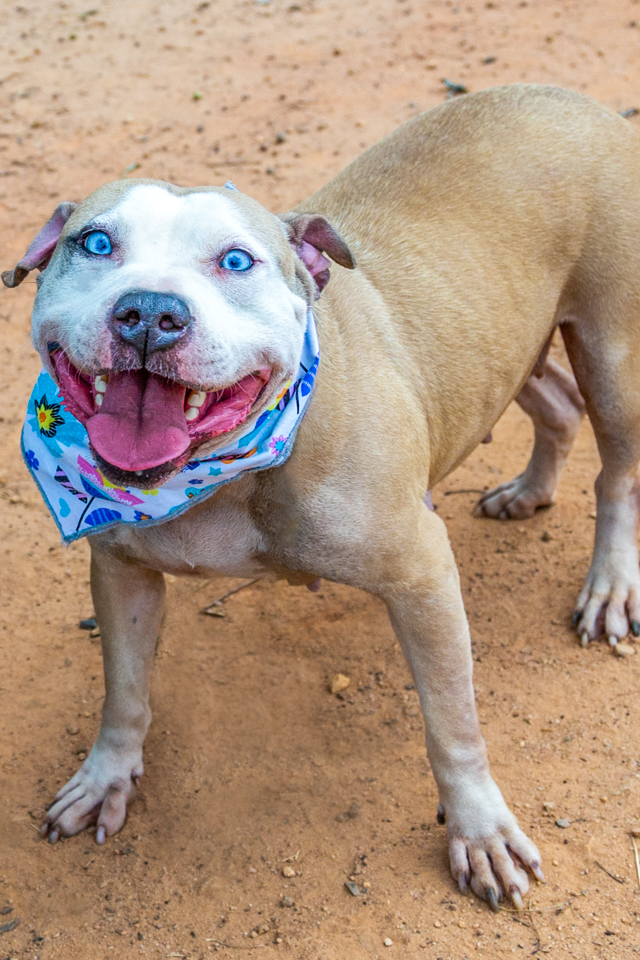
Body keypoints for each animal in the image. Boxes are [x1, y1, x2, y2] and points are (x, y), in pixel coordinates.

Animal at [6, 82, 640, 908]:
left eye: (236, 260)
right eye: (95, 243)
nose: (149, 312)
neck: (219, 475)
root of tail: (571, 97)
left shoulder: (421, 576)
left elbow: (454, 725)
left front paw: (479, 830)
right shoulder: (122, 570)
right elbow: (125, 691)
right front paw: (107, 777)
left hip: (609, 353)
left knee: (616, 472)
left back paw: (610, 585)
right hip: (502, 348)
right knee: (557, 406)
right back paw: (529, 491)